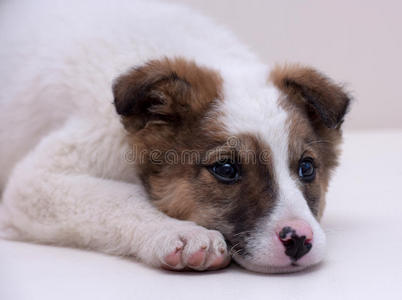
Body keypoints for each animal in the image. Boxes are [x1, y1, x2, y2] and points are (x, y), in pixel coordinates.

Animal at [0, 0, 348, 274]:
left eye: (307, 168)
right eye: (226, 170)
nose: (299, 240)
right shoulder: (34, 181)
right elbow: (119, 196)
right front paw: (178, 233)